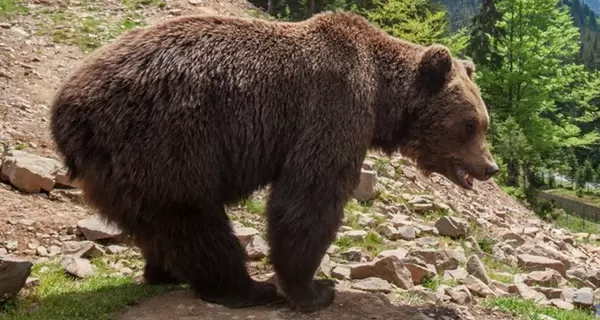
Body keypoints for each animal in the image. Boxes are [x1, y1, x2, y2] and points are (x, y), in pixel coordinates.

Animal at [48, 10, 496, 312]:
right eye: (470, 125)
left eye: (483, 123)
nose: (490, 168)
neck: (383, 98)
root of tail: (65, 109)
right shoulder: (334, 106)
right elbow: (309, 196)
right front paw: (314, 290)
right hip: (164, 140)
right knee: (194, 220)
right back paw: (244, 288)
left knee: (159, 223)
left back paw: (163, 272)